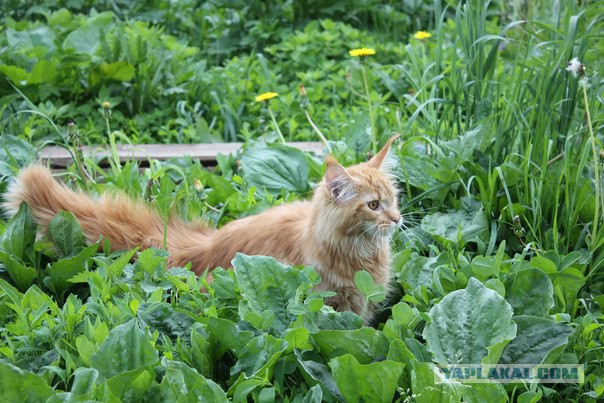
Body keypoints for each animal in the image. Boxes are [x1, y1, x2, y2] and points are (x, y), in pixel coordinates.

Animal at [4, 137, 404, 324]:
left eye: (394, 199)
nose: (399, 219)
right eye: (373, 206)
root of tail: (208, 245)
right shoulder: (332, 305)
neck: (360, 254)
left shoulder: (363, 308)